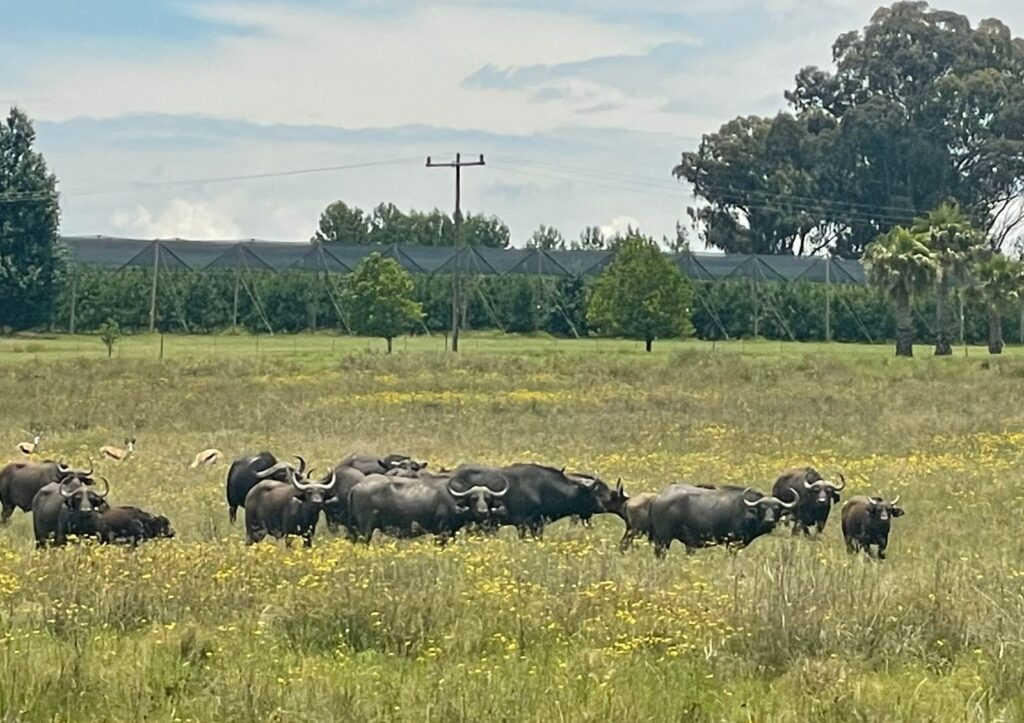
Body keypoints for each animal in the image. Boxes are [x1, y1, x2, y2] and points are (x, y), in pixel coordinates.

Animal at [348, 471, 509, 544]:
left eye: (487, 499)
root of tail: (357, 486)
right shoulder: (442, 531)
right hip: (366, 529)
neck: (453, 499)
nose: (483, 512)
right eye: (474, 498)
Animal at [650, 484, 798, 557]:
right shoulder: (732, 544)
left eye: (777, 508)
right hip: (663, 539)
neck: (746, 511)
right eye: (762, 507)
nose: (769, 520)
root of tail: (658, 498)